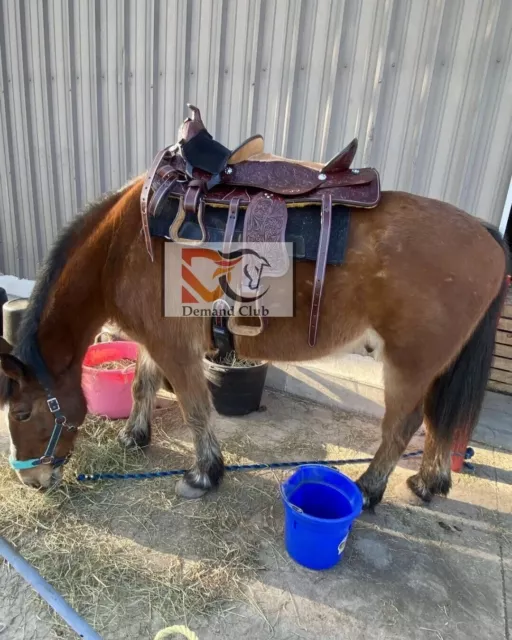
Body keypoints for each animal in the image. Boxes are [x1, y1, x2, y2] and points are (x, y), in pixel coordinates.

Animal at [0, 180, 506, 510]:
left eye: (22, 413)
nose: (29, 478)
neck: (123, 246)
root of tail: (484, 231)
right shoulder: (152, 340)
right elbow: (142, 386)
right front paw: (135, 436)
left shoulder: (175, 348)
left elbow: (195, 409)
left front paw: (204, 474)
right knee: (440, 422)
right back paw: (429, 482)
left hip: (409, 365)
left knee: (402, 428)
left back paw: (367, 490)